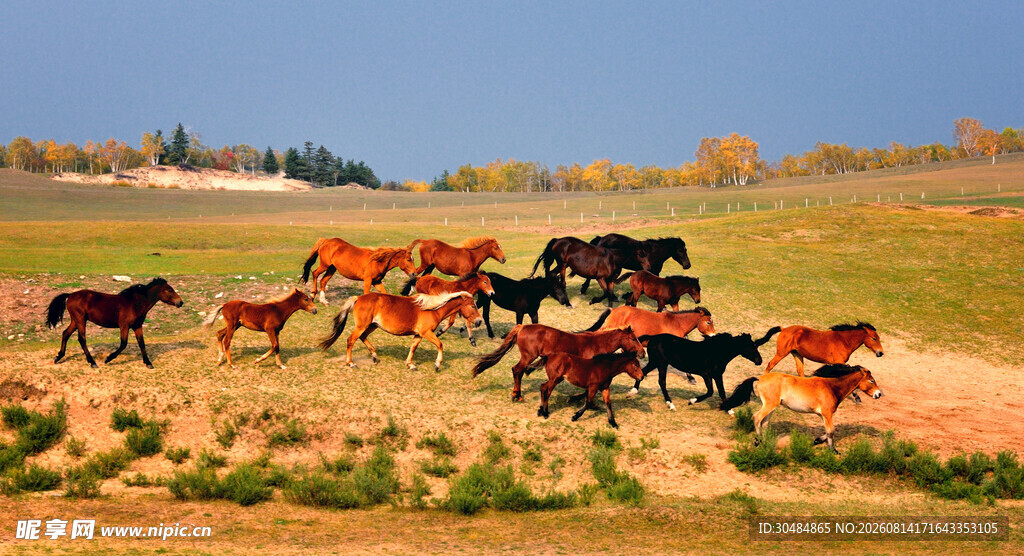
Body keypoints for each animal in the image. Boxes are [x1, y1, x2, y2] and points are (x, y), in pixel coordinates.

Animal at [45, 277, 184, 369]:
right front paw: (108, 359)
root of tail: (70, 295)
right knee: (81, 339)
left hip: (75, 320)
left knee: (65, 334)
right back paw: (92, 362)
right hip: (80, 320)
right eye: (169, 290)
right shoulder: (124, 326)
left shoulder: (137, 326)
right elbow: (123, 344)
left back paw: (58, 357)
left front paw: (148, 363)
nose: (180, 302)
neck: (135, 304)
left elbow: (141, 343)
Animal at [318, 291, 478, 372]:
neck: (432, 309)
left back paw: (374, 356)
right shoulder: (426, 332)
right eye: (472, 306)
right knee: (351, 340)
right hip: (362, 325)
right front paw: (437, 365)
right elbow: (440, 344)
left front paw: (410, 365)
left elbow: (413, 348)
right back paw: (351, 363)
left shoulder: (418, 334)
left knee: (362, 337)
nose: (478, 321)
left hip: (372, 325)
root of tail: (358, 298)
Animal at [471, 324, 645, 402]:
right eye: (633, 338)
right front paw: (574, 399)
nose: (643, 352)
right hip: (528, 356)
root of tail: (522, 327)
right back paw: (517, 395)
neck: (594, 344)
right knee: (517, 370)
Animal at [632, 328, 780, 410]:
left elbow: (721, 392)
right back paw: (671, 405)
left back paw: (632, 392)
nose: (759, 361)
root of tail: (652, 337)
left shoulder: (718, 375)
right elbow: (710, 391)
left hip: (655, 362)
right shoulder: (706, 375)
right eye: (751, 346)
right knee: (661, 382)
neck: (717, 352)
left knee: (643, 373)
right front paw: (691, 401)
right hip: (661, 363)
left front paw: (729, 409)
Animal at [719, 364, 883, 453]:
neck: (832, 387)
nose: (879, 394)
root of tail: (760, 378)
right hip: (769, 405)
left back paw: (765, 441)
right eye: (871, 380)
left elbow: (827, 431)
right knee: (757, 418)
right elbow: (831, 431)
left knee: (764, 422)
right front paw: (833, 450)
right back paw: (758, 441)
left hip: (771, 407)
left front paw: (817, 441)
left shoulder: (822, 415)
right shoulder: (827, 414)